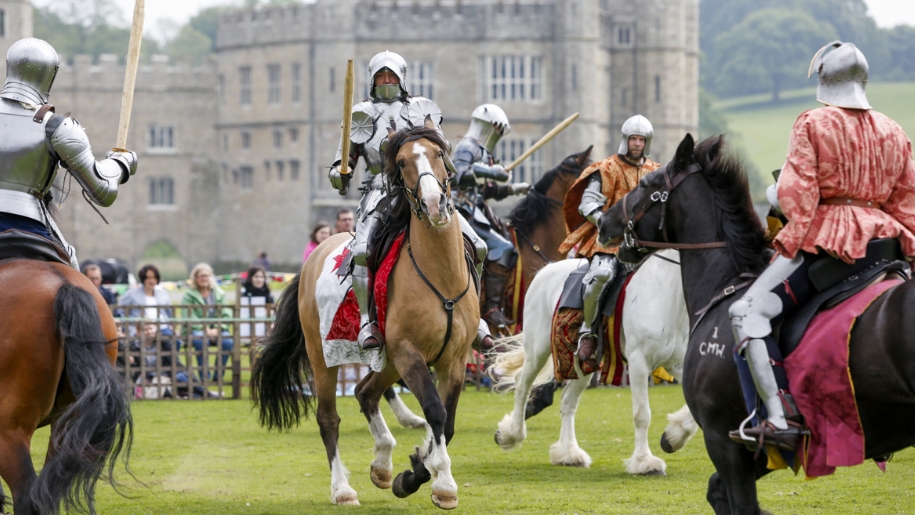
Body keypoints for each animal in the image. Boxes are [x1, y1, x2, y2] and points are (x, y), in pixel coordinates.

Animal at [250, 119, 480, 510]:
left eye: (438, 153)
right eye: (401, 162)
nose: (435, 204)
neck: (440, 278)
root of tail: (314, 257)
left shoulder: (454, 359)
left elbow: (446, 422)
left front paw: (415, 473)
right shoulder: (409, 353)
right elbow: (435, 411)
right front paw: (443, 483)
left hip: (387, 363)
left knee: (365, 392)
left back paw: (383, 463)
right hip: (323, 355)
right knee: (329, 417)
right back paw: (342, 489)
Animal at [490, 251, 696, 476]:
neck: (664, 293)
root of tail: (546, 270)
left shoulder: (677, 363)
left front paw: (672, 437)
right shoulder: (638, 362)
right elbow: (642, 415)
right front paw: (645, 462)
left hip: (583, 364)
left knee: (567, 402)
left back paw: (569, 454)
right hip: (538, 349)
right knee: (522, 384)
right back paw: (510, 435)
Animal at [596, 134, 915, 515]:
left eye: (646, 185)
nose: (603, 222)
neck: (725, 284)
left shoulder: (725, 440)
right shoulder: (759, 447)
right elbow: (717, 491)